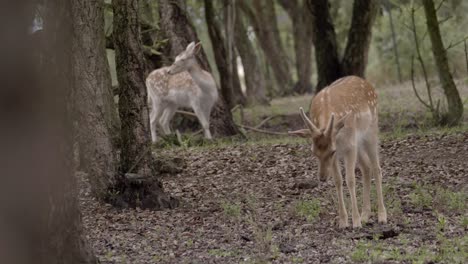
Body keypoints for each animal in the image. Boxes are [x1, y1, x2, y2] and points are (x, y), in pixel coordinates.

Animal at [288, 75, 388, 228]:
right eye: (313, 152)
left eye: (332, 151)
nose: (322, 178)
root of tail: (366, 83)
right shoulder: (339, 154)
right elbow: (338, 180)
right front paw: (343, 222)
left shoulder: (349, 146)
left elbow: (350, 180)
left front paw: (356, 222)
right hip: (359, 143)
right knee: (366, 167)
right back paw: (366, 215)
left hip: (371, 131)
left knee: (377, 168)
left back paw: (382, 216)